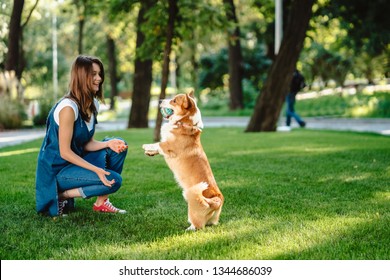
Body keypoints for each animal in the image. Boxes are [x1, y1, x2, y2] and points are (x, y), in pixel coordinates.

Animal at [142, 91, 224, 230]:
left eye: (174, 101)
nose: (159, 100)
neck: (184, 122)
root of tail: (217, 201)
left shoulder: (168, 146)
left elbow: (158, 144)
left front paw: (146, 146)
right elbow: (157, 147)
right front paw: (150, 152)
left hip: (192, 200)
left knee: (198, 225)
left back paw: (188, 229)